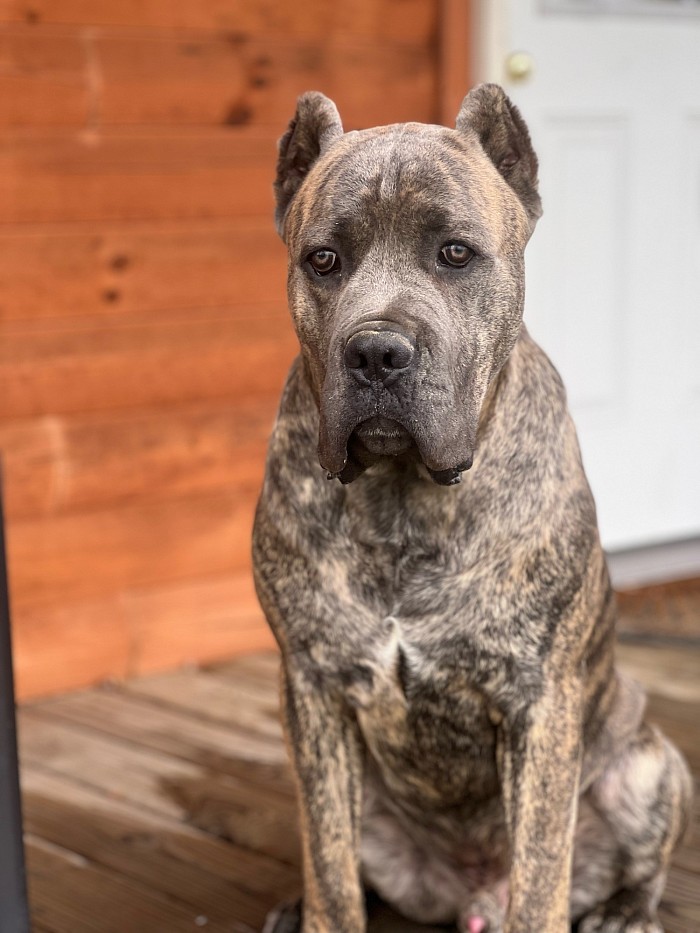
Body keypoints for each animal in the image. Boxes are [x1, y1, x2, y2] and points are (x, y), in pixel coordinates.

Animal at [253, 85, 696, 932]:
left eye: (455, 254)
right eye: (323, 260)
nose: (377, 351)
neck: (403, 495)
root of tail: (468, 892)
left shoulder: (539, 706)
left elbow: (541, 870)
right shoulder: (315, 692)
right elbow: (329, 862)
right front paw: (318, 902)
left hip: (649, 765)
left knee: (637, 862)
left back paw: (624, 909)